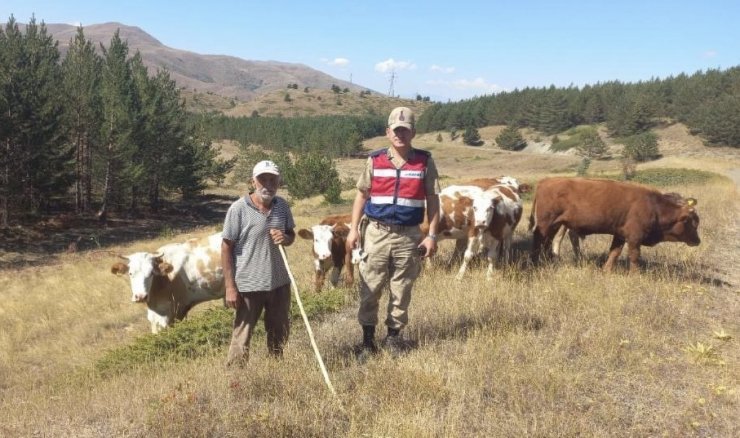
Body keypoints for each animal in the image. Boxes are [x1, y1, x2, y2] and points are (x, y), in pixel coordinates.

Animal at [532, 177, 700, 272]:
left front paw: (606, 271)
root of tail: (544, 182)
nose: (698, 241)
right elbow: (634, 256)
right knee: (539, 240)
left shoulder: (619, 235)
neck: (654, 207)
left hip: (555, 225)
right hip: (546, 223)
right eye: (692, 222)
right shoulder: (634, 237)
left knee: (548, 242)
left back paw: (547, 261)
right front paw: (635, 275)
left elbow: (614, 253)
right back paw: (536, 262)